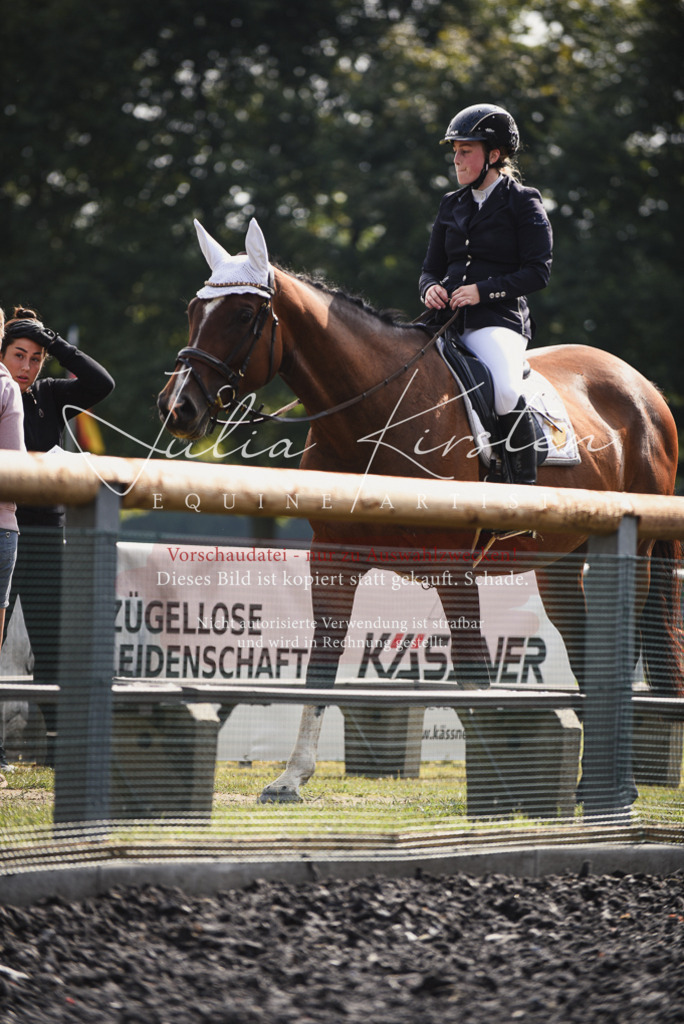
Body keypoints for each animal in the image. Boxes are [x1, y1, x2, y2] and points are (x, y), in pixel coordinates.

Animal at [157, 218, 683, 804]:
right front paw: (291, 777)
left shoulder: (454, 567)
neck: (377, 411)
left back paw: (616, 786)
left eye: (245, 315)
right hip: (560, 565)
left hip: (631, 553)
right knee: (586, 649)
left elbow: (475, 675)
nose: (177, 408)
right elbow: (321, 664)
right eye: (193, 310)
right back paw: (596, 783)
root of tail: (643, 389)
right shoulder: (334, 560)